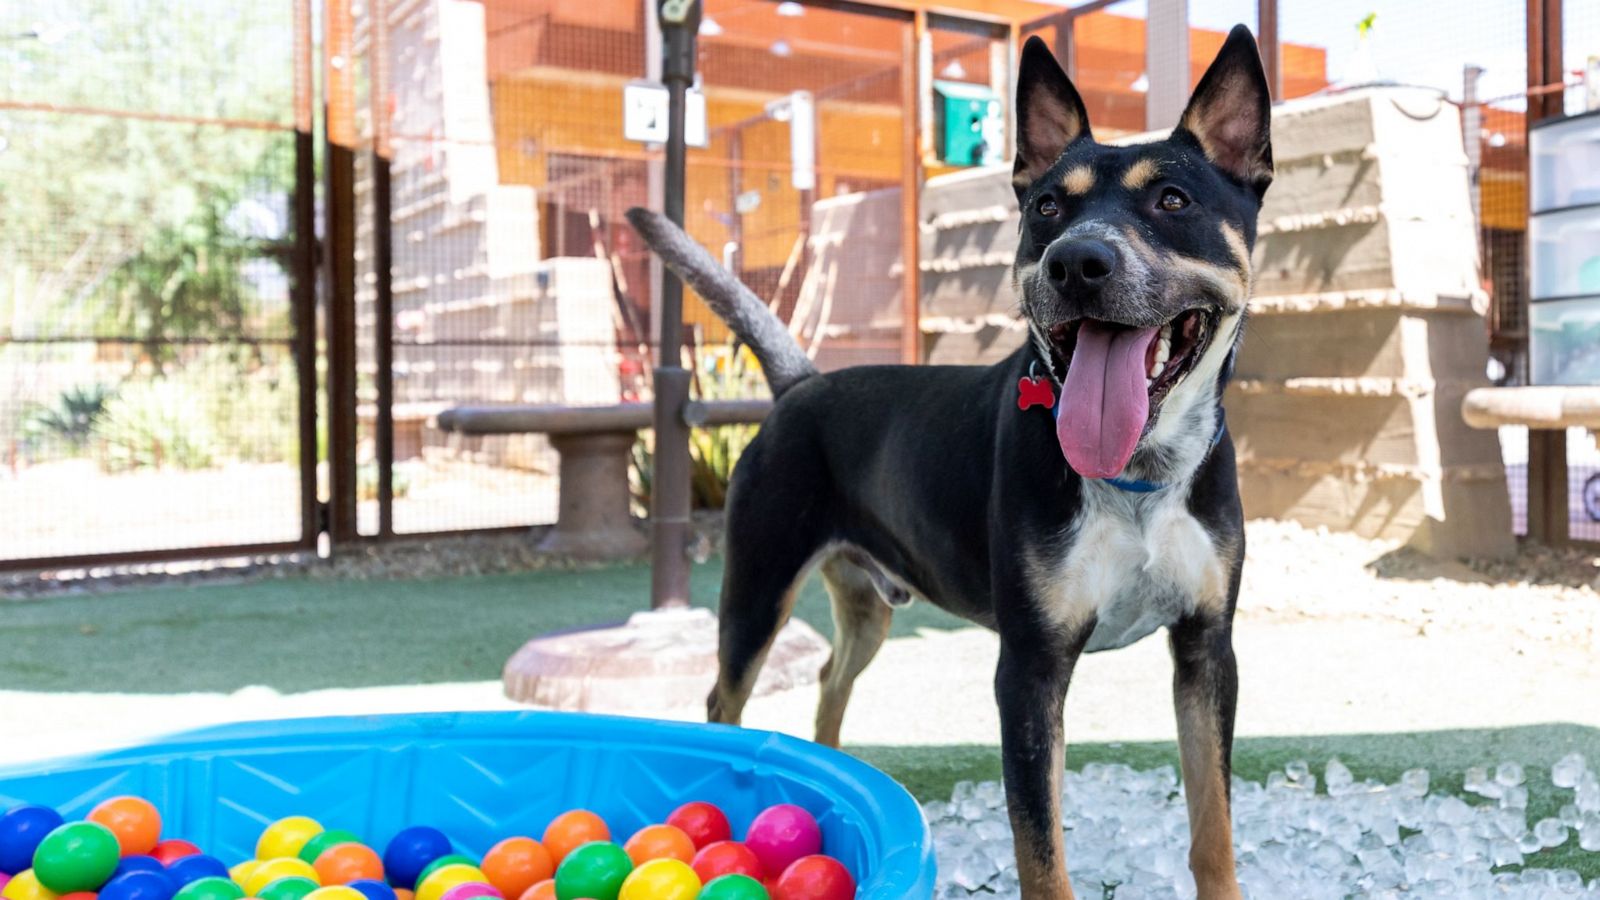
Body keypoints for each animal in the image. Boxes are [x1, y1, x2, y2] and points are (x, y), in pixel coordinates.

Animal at [630, 22, 1267, 896]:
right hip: (756, 591)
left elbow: (1214, 826)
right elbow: (1041, 849)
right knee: (724, 702)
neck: (1135, 476)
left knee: (829, 681)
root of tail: (801, 384)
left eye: (1174, 201)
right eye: (1047, 207)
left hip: (864, 608)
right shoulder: (1028, 670)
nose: (1077, 261)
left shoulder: (1208, 650)